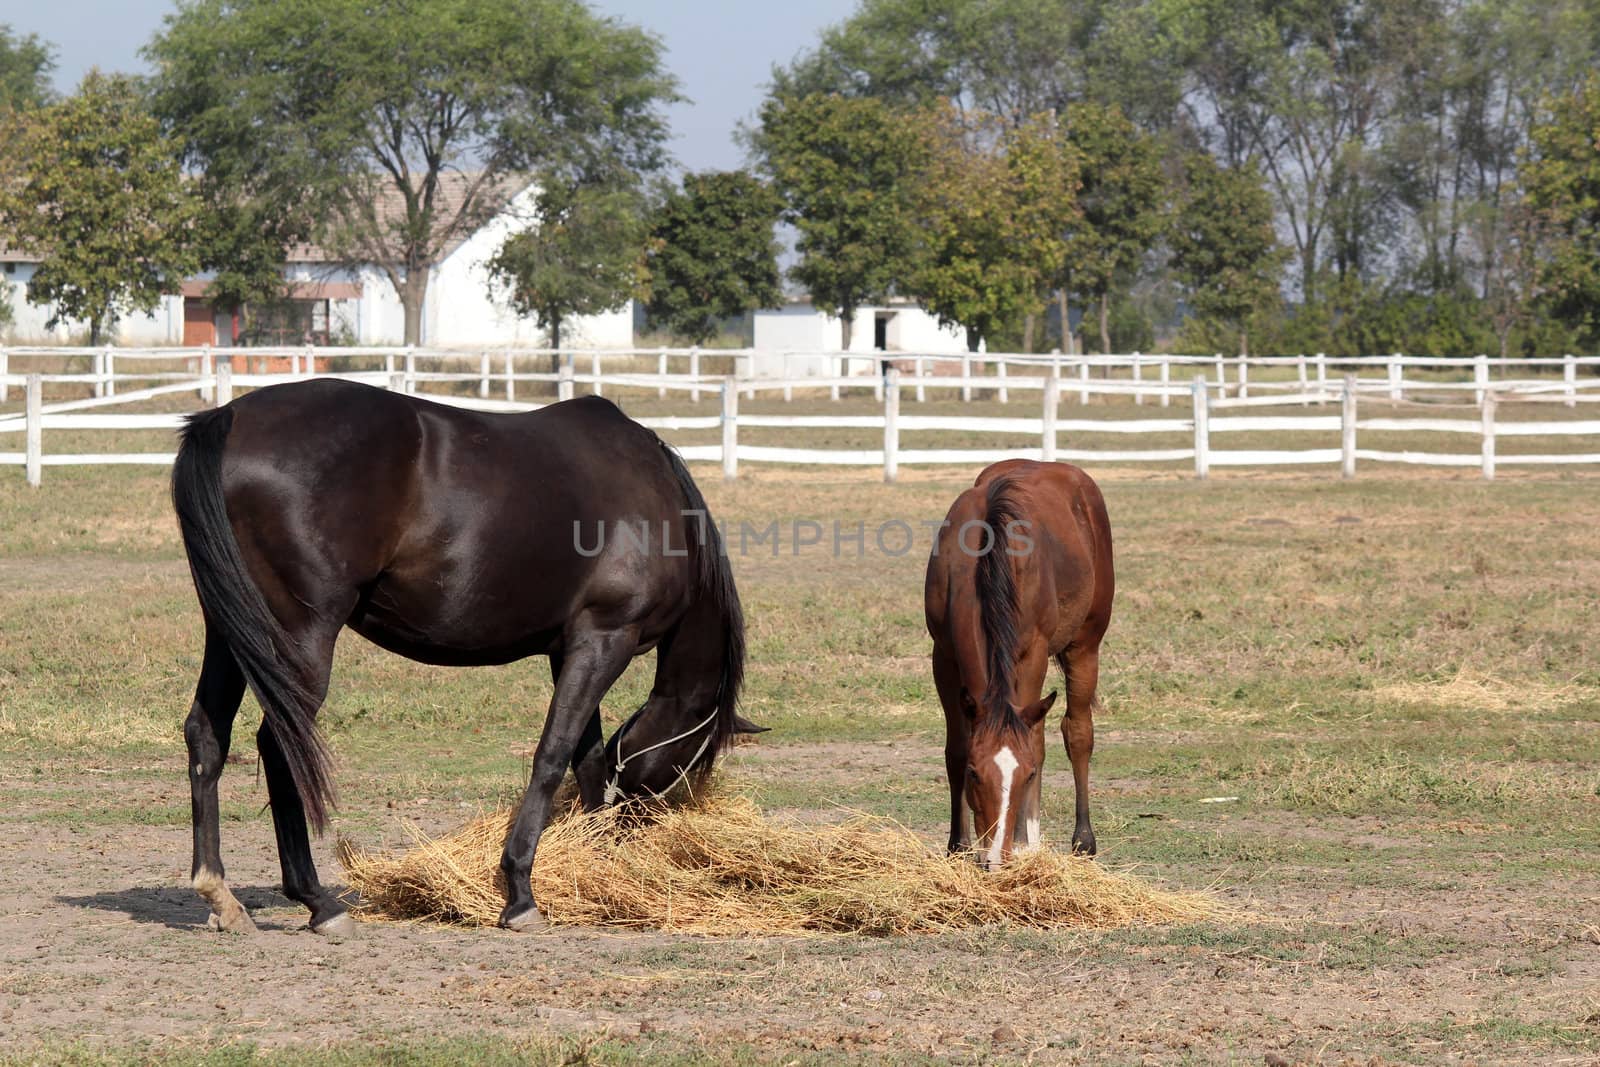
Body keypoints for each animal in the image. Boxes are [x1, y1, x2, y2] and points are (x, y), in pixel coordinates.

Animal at [172, 382, 745, 934]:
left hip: (230, 632)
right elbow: (553, 755)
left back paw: (220, 895)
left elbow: (586, 758)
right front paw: (520, 891)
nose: (644, 821)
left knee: (206, 734)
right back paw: (319, 902)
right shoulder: (607, 639)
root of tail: (229, 418)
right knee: (279, 745)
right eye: (693, 762)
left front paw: (594, 862)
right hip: (300, 638)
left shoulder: (574, 647)